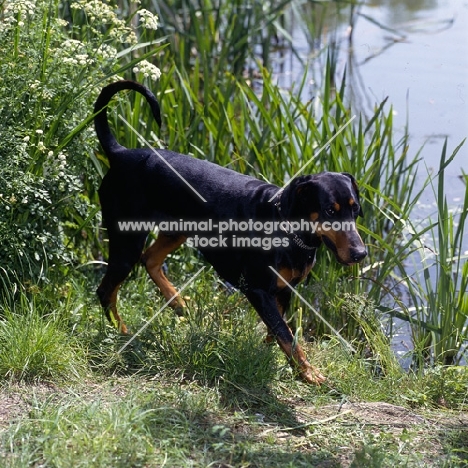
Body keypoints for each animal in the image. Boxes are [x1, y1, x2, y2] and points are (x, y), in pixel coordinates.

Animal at [93, 80, 368, 386]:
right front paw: (309, 372)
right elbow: (286, 333)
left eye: (355, 210)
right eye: (330, 211)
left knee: (150, 260)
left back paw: (178, 302)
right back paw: (123, 333)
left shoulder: (285, 289)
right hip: (126, 242)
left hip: (176, 231)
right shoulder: (257, 290)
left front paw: (271, 357)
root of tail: (121, 154)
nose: (361, 253)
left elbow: (279, 329)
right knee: (106, 290)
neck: (288, 230)